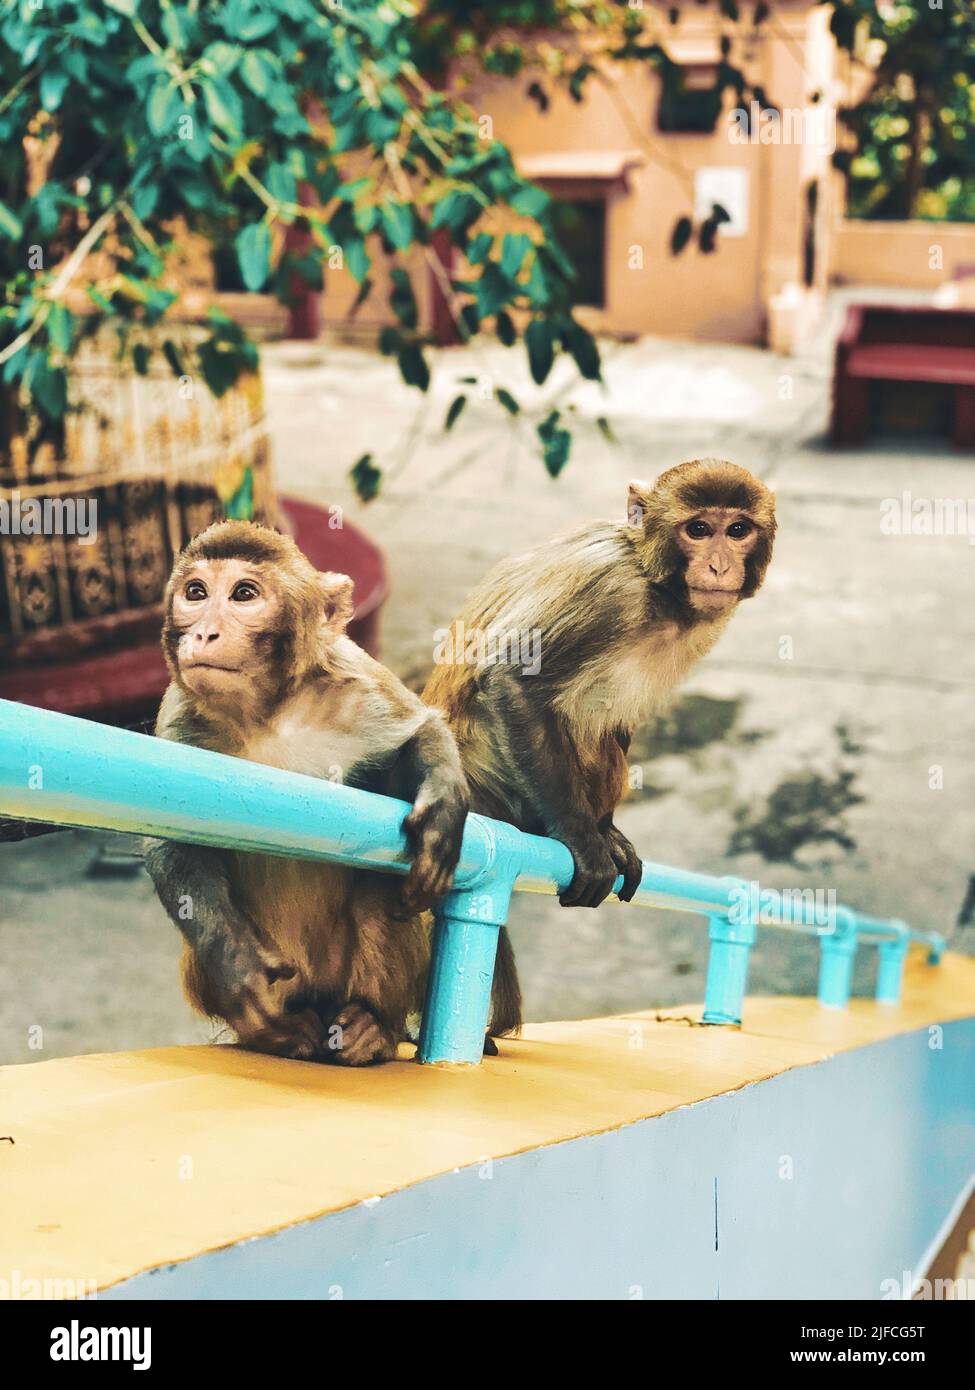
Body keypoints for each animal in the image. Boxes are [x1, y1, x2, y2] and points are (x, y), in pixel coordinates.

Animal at [144, 519, 476, 1066]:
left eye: (243, 594)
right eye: (196, 593)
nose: (204, 632)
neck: (268, 715)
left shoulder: (357, 681)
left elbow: (419, 729)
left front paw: (444, 811)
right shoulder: (179, 714)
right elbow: (171, 837)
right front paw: (238, 966)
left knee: (375, 892)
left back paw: (372, 1027)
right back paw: (278, 1034)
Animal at [423, 459, 776, 1035]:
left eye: (738, 529)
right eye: (699, 529)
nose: (721, 565)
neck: (658, 590)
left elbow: (620, 724)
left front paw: (605, 830)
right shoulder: (609, 591)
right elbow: (512, 679)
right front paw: (581, 836)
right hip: (492, 793)